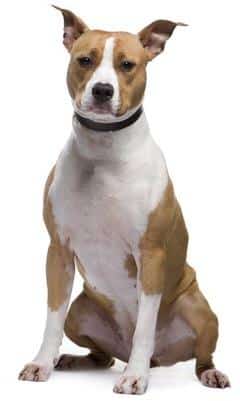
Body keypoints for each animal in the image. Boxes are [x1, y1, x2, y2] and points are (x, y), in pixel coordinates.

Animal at [18, 5, 229, 394]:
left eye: (128, 64)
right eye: (85, 60)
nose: (102, 90)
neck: (104, 150)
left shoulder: (151, 254)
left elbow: (145, 326)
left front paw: (135, 377)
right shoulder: (58, 250)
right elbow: (51, 316)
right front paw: (41, 363)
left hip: (201, 311)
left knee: (198, 355)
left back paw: (208, 373)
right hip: (80, 313)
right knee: (101, 355)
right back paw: (72, 359)